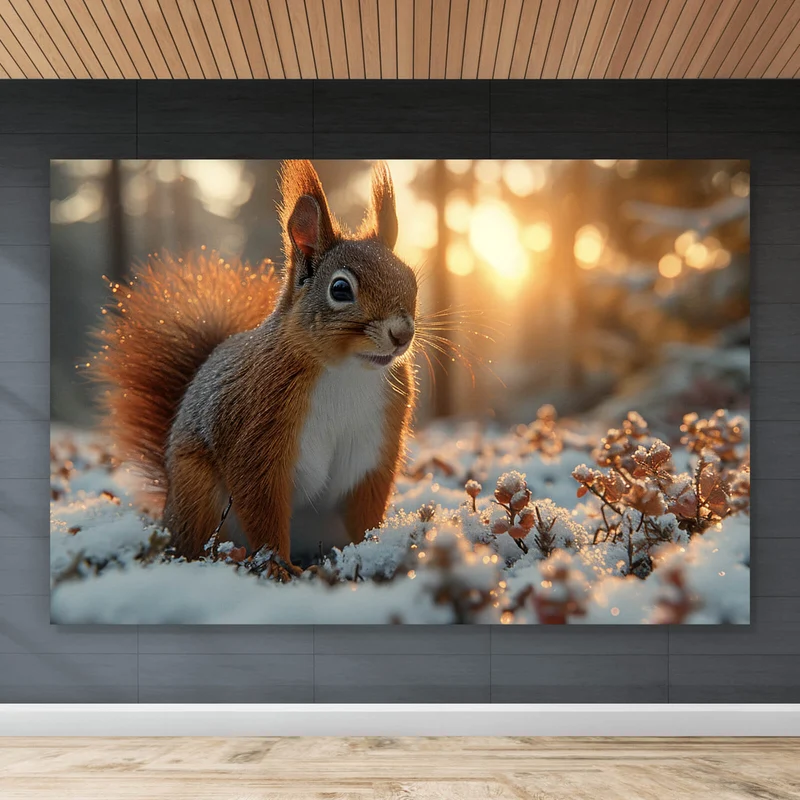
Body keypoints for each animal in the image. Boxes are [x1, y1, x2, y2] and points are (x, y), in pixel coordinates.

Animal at [94, 160, 418, 576]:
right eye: (341, 289)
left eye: (411, 279)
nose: (402, 334)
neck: (348, 371)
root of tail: (168, 514)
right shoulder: (257, 425)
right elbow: (260, 498)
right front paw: (277, 566)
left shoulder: (375, 447)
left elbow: (367, 505)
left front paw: (370, 550)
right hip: (198, 494)